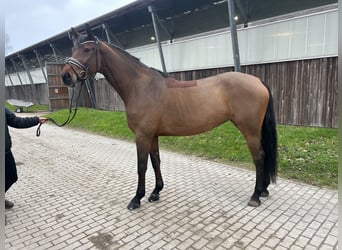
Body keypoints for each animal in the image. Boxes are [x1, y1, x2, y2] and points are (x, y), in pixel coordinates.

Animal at [61, 24, 278, 209]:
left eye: (87, 49)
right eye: (72, 50)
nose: (66, 76)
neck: (141, 87)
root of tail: (257, 80)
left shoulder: (142, 135)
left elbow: (141, 166)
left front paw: (136, 199)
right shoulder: (152, 135)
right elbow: (156, 161)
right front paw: (156, 192)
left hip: (249, 130)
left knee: (259, 157)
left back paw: (255, 196)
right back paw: (264, 190)